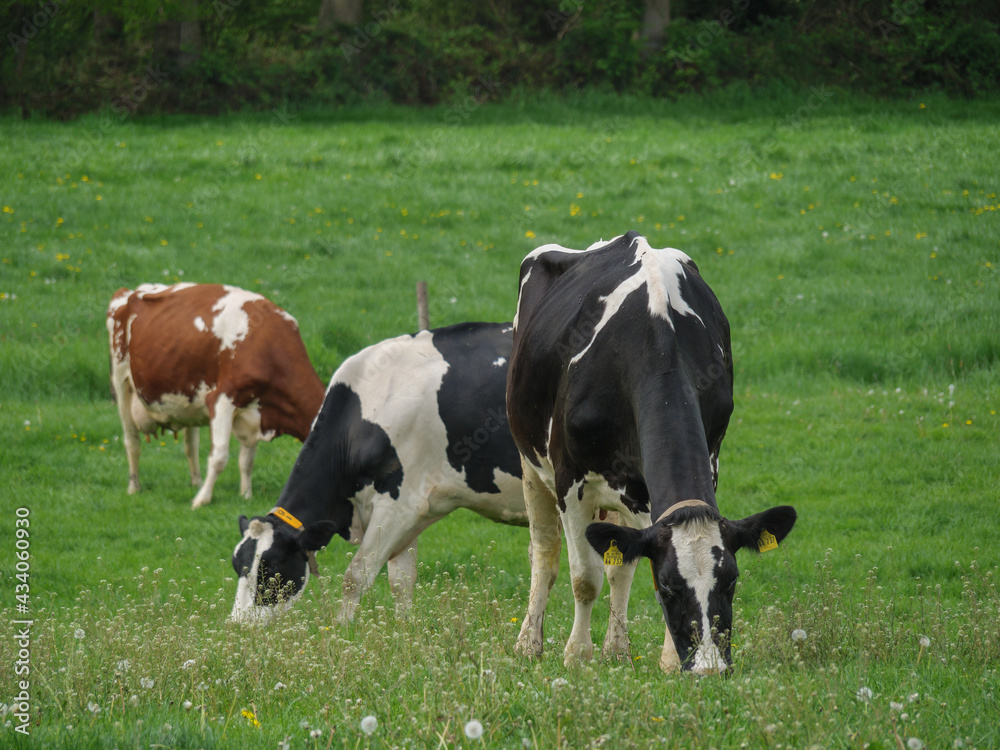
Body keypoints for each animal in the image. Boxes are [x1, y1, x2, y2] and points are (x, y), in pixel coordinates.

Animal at [105, 284, 324, 512]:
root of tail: (132, 290)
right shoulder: (222, 399)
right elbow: (219, 457)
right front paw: (202, 500)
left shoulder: (255, 411)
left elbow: (247, 460)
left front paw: (245, 495)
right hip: (122, 383)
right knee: (132, 441)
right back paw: (134, 487)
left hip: (187, 397)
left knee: (191, 444)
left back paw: (196, 482)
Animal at [229, 322, 528, 624]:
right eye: (236, 564)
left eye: (271, 570)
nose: (238, 625)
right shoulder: (416, 512)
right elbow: (401, 582)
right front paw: (404, 629)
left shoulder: (398, 506)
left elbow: (355, 577)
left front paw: (341, 629)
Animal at [508, 231, 796, 676]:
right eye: (669, 587)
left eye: (731, 581)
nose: (710, 668)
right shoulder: (570, 478)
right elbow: (583, 578)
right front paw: (577, 655)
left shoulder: (708, 459)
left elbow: (623, 565)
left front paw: (666, 661)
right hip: (531, 465)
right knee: (545, 554)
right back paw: (529, 644)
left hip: (630, 491)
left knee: (619, 567)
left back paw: (617, 650)